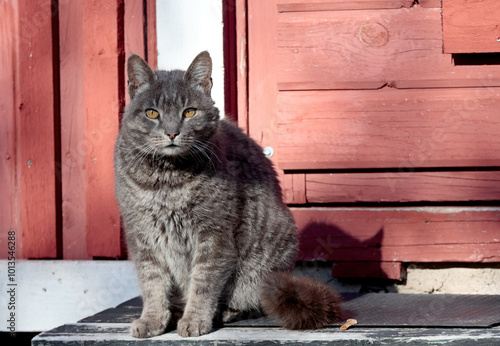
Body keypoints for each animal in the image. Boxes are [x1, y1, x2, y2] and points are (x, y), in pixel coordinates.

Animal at [114, 51, 342, 338]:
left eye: (189, 112)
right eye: (152, 113)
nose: (172, 132)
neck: (167, 182)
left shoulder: (214, 235)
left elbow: (203, 283)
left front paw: (195, 319)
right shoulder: (141, 236)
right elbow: (152, 282)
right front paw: (153, 319)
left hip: (263, 262)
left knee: (249, 302)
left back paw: (220, 312)